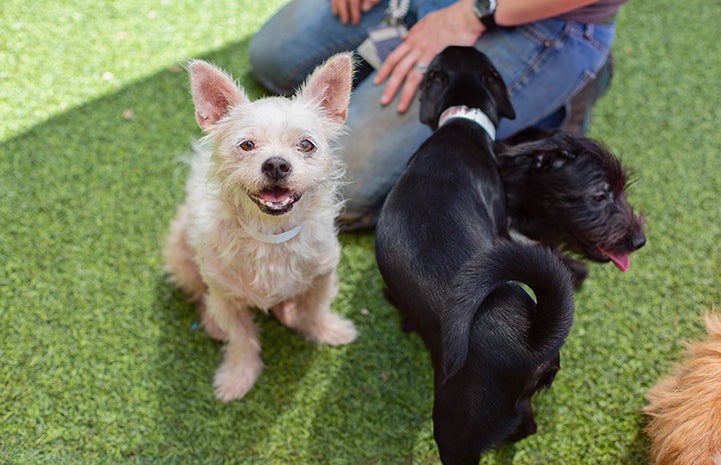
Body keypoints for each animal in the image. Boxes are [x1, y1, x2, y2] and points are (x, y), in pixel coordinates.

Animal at [162, 54, 356, 400]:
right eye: (247, 145)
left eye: (306, 145)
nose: (276, 164)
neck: (270, 236)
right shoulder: (225, 297)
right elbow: (241, 339)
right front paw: (238, 377)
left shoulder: (322, 276)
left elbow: (315, 310)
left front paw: (327, 331)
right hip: (182, 259)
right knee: (199, 296)